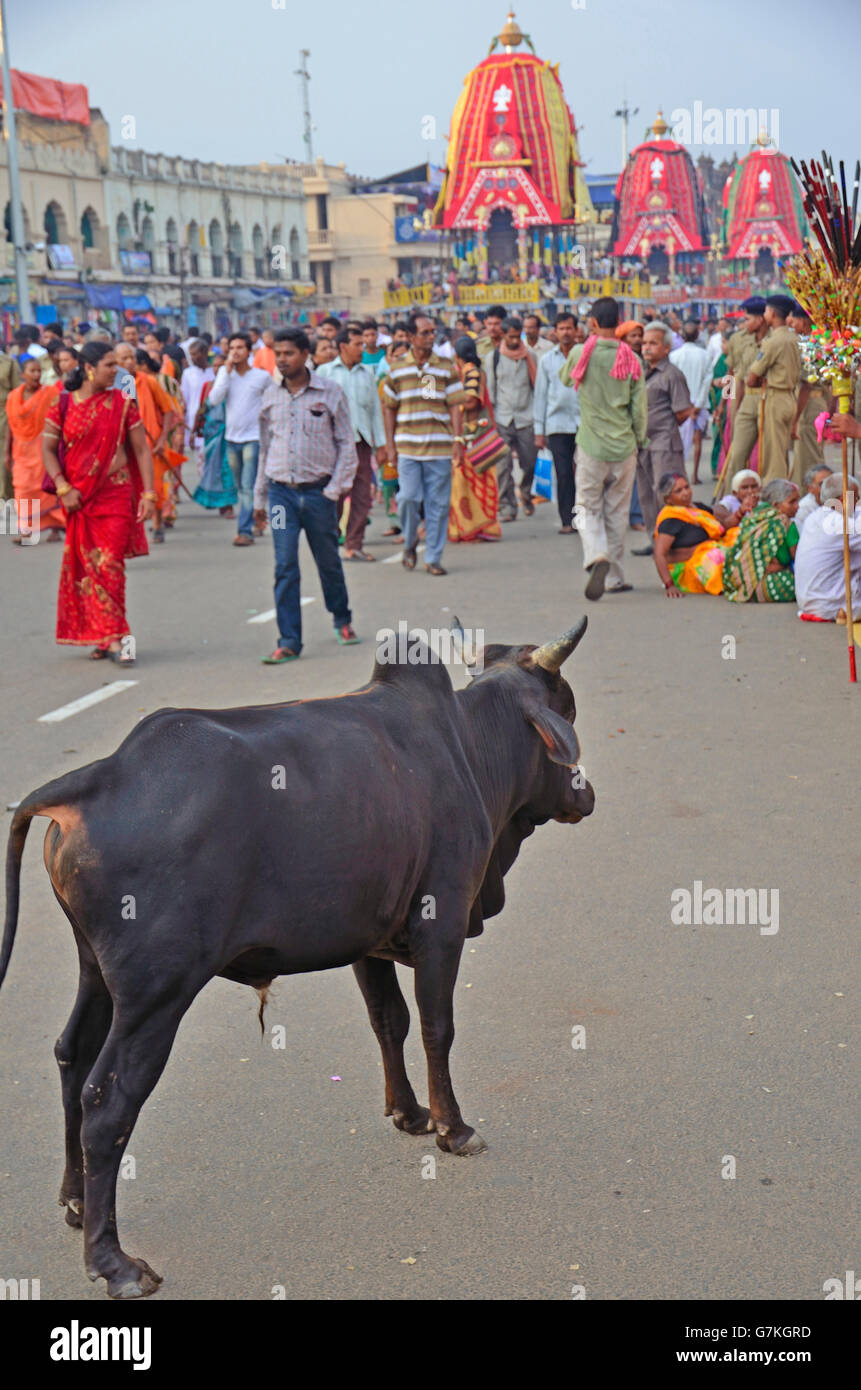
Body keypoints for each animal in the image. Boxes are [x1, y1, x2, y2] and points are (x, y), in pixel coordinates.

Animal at [1, 625, 592, 1295]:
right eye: (568, 712)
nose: (587, 794)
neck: (467, 748)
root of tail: (98, 778)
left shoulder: (370, 940)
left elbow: (390, 1022)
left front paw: (409, 1113)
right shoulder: (441, 928)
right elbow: (437, 1028)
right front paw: (452, 1127)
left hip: (95, 973)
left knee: (71, 1060)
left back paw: (75, 1202)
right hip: (157, 995)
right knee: (106, 1106)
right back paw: (114, 1262)